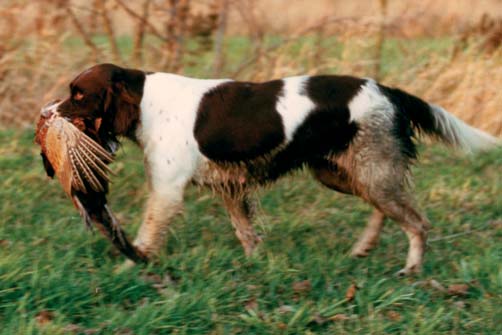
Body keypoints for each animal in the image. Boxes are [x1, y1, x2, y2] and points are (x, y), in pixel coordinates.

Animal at [53, 63, 500, 276]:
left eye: (79, 95)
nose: (48, 113)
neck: (145, 100)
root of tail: (387, 90)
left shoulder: (167, 190)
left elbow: (144, 239)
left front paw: (129, 268)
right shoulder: (230, 189)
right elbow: (247, 233)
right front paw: (256, 265)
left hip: (370, 170)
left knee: (418, 222)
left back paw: (411, 268)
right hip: (345, 172)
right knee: (387, 210)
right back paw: (363, 249)